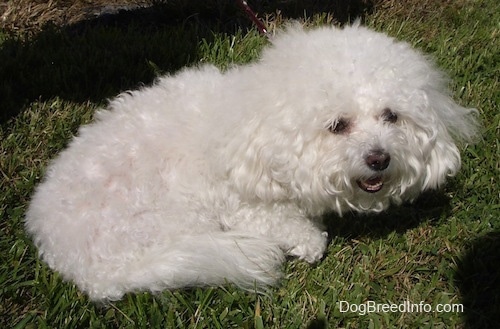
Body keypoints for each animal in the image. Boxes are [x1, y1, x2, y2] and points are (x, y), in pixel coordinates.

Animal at [25, 23, 478, 300]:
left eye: (391, 116)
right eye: (338, 125)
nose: (379, 159)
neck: (258, 119)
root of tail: (73, 261)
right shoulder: (240, 201)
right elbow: (284, 224)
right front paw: (308, 240)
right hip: (176, 219)